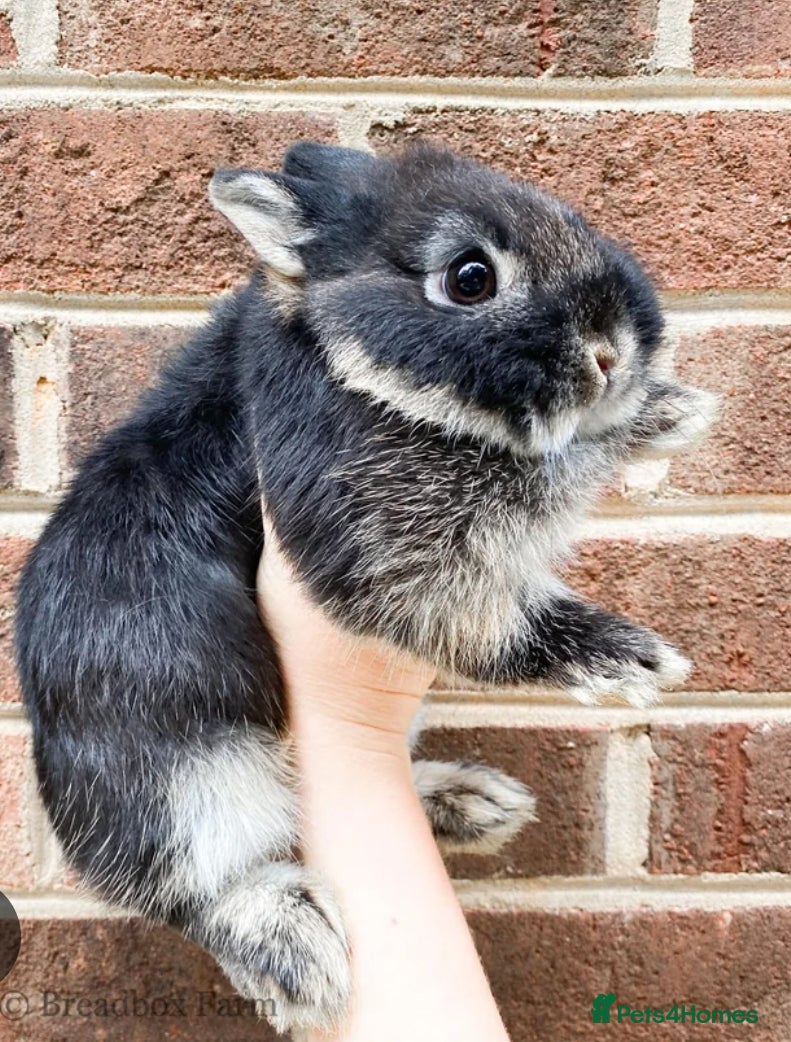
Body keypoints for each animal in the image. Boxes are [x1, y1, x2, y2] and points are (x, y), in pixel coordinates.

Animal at [14, 141, 717, 1035]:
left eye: (573, 216)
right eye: (469, 278)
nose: (610, 352)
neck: (333, 351)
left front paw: (668, 408)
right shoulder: (383, 528)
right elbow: (533, 508)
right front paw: (629, 659)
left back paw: (470, 801)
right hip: (181, 772)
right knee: (199, 882)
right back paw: (296, 957)